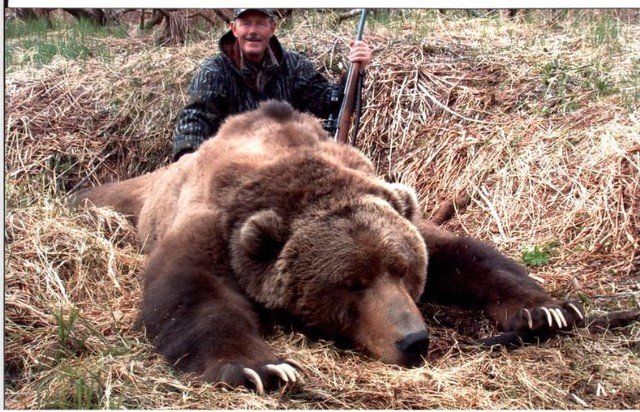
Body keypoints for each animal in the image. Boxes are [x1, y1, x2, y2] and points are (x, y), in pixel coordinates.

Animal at [75, 100, 585, 394]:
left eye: (403, 271)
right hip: (125, 199)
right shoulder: (216, 227)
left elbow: (464, 255)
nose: (414, 340)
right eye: (351, 284)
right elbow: (192, 290)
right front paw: (264, 367)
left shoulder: (396, 211)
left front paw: (545, 310)